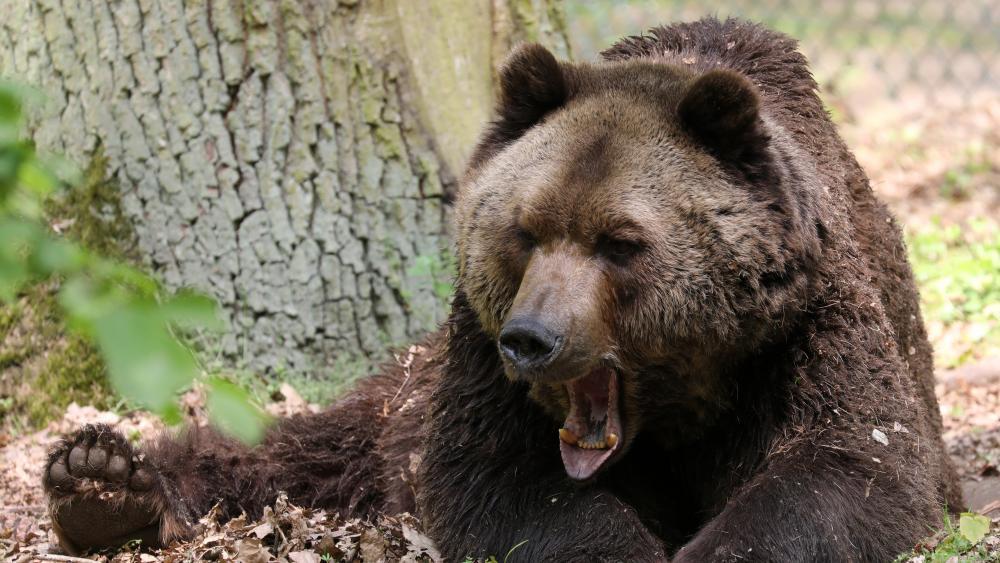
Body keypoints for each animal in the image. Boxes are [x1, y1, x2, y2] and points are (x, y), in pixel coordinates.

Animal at [45, 18, 960, 563]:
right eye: (525, 229)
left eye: (621, 242)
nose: (534, 338)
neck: (678, 404)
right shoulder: (478, 365)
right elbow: (499, 481)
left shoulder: (807, 330)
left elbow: (851, 464)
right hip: (405, 393)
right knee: (299, 450)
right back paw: (102, 478)